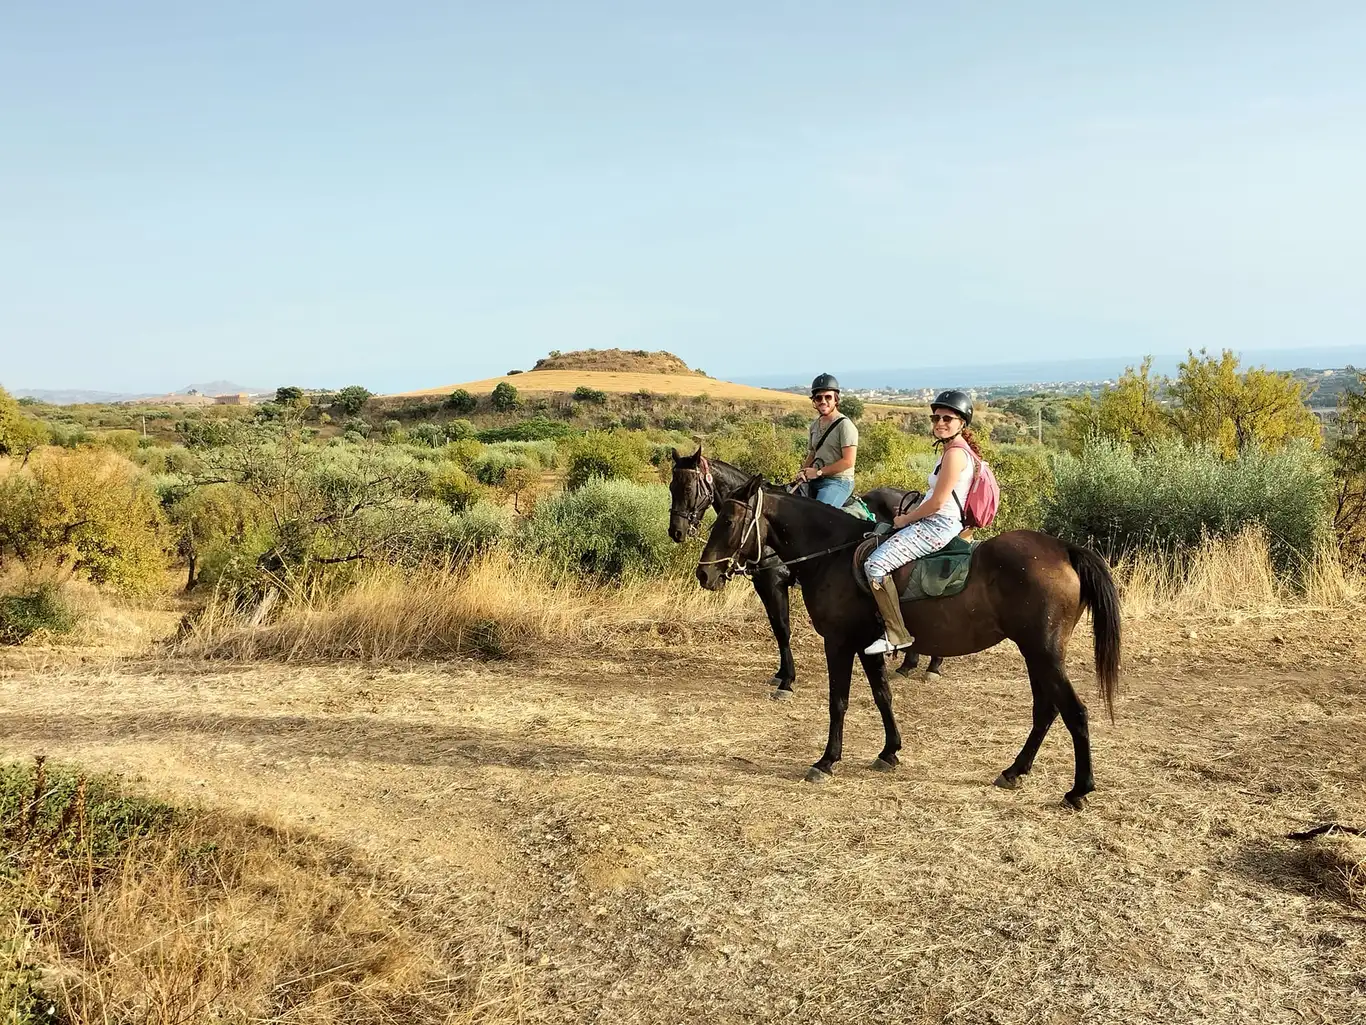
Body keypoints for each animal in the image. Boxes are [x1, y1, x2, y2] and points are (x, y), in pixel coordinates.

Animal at [667, 448, 946, 695]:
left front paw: (787, 680)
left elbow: (782, 628)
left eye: (689, 488)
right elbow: (777, 628)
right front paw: (781, 673)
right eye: (671, 488)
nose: (676, 531)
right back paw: (909, 664)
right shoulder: (763, 586)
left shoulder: (775, 584)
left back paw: (931, 666)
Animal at [695, 477, 1121, 810]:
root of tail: (1064, 550)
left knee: (1074, 711)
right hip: (1036, 654)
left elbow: (838, 702)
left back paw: (1078, 791)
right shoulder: (867, 646)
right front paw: (889, 752)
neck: (833, 556)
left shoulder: (838, 643)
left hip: (1043, 653)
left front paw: (826, 761)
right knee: (1046, 710)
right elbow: (883, 695)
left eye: (728, 520)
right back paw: (1015, 771)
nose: (704, 574)